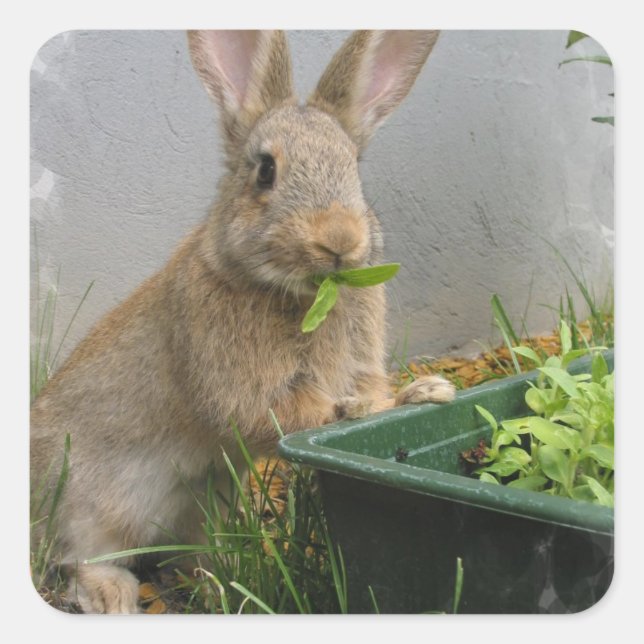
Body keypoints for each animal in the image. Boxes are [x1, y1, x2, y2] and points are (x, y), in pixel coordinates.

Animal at [30, 29, 455, 614]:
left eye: (354, 168)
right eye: (266, 171)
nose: (340, 239)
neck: (300, 293)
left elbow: (374, 393)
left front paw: (429, 392)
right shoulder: (242, 387)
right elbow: (293, 413)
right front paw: (372, 408)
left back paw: (220, 580)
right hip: (88, 508)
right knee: (79, 559)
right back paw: (115, 595)